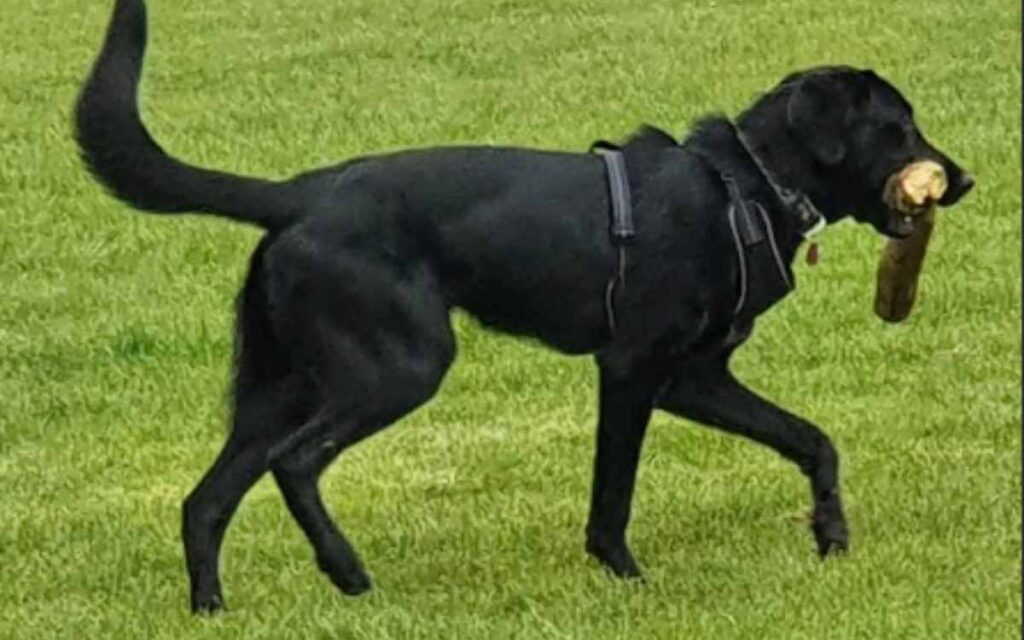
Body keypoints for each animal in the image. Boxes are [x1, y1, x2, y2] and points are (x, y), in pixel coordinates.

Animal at [75, 0, 970, 610]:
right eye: (899, 128)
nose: (961, 179)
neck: (744, 186)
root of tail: (300, 195)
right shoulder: (633, 369)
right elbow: (613, 491)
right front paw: (623, 574)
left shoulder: (695, 379)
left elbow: (813, 440)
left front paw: (831, 536)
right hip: (398, 366)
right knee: (295, 464)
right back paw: (348, 571)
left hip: (279, 386)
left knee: (207, 500)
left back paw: (212, 608)